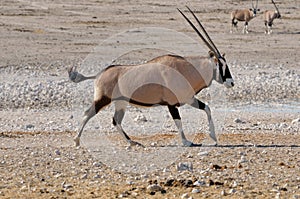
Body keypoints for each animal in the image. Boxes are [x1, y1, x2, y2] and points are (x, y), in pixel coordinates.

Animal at [68, 6, 234, 148]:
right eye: (222, 65)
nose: (231, 83)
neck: (186, 69)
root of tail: (100, 74)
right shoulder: (172, 104)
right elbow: (178, 121)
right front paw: (186, 142)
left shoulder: (189, 99)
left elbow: (207, 108)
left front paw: (213, 137)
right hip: (103, 99)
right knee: (88, 114)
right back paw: (76, 141)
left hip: (120, 102)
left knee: (116, 121)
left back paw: (132, 142)